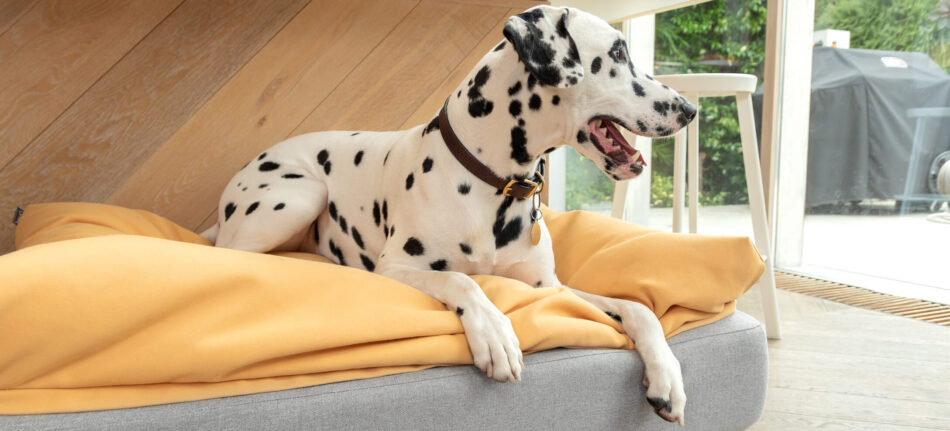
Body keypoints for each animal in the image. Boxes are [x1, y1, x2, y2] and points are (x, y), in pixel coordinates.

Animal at [206, 5, 700, 426]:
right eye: (616, 53)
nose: (690, 109)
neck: (494, 185)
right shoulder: (395, 268)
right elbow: (461, 279)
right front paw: (495, 333)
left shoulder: (549, 290)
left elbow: (638, 309)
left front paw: (668, 376)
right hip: (301, 195)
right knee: (232, 253)